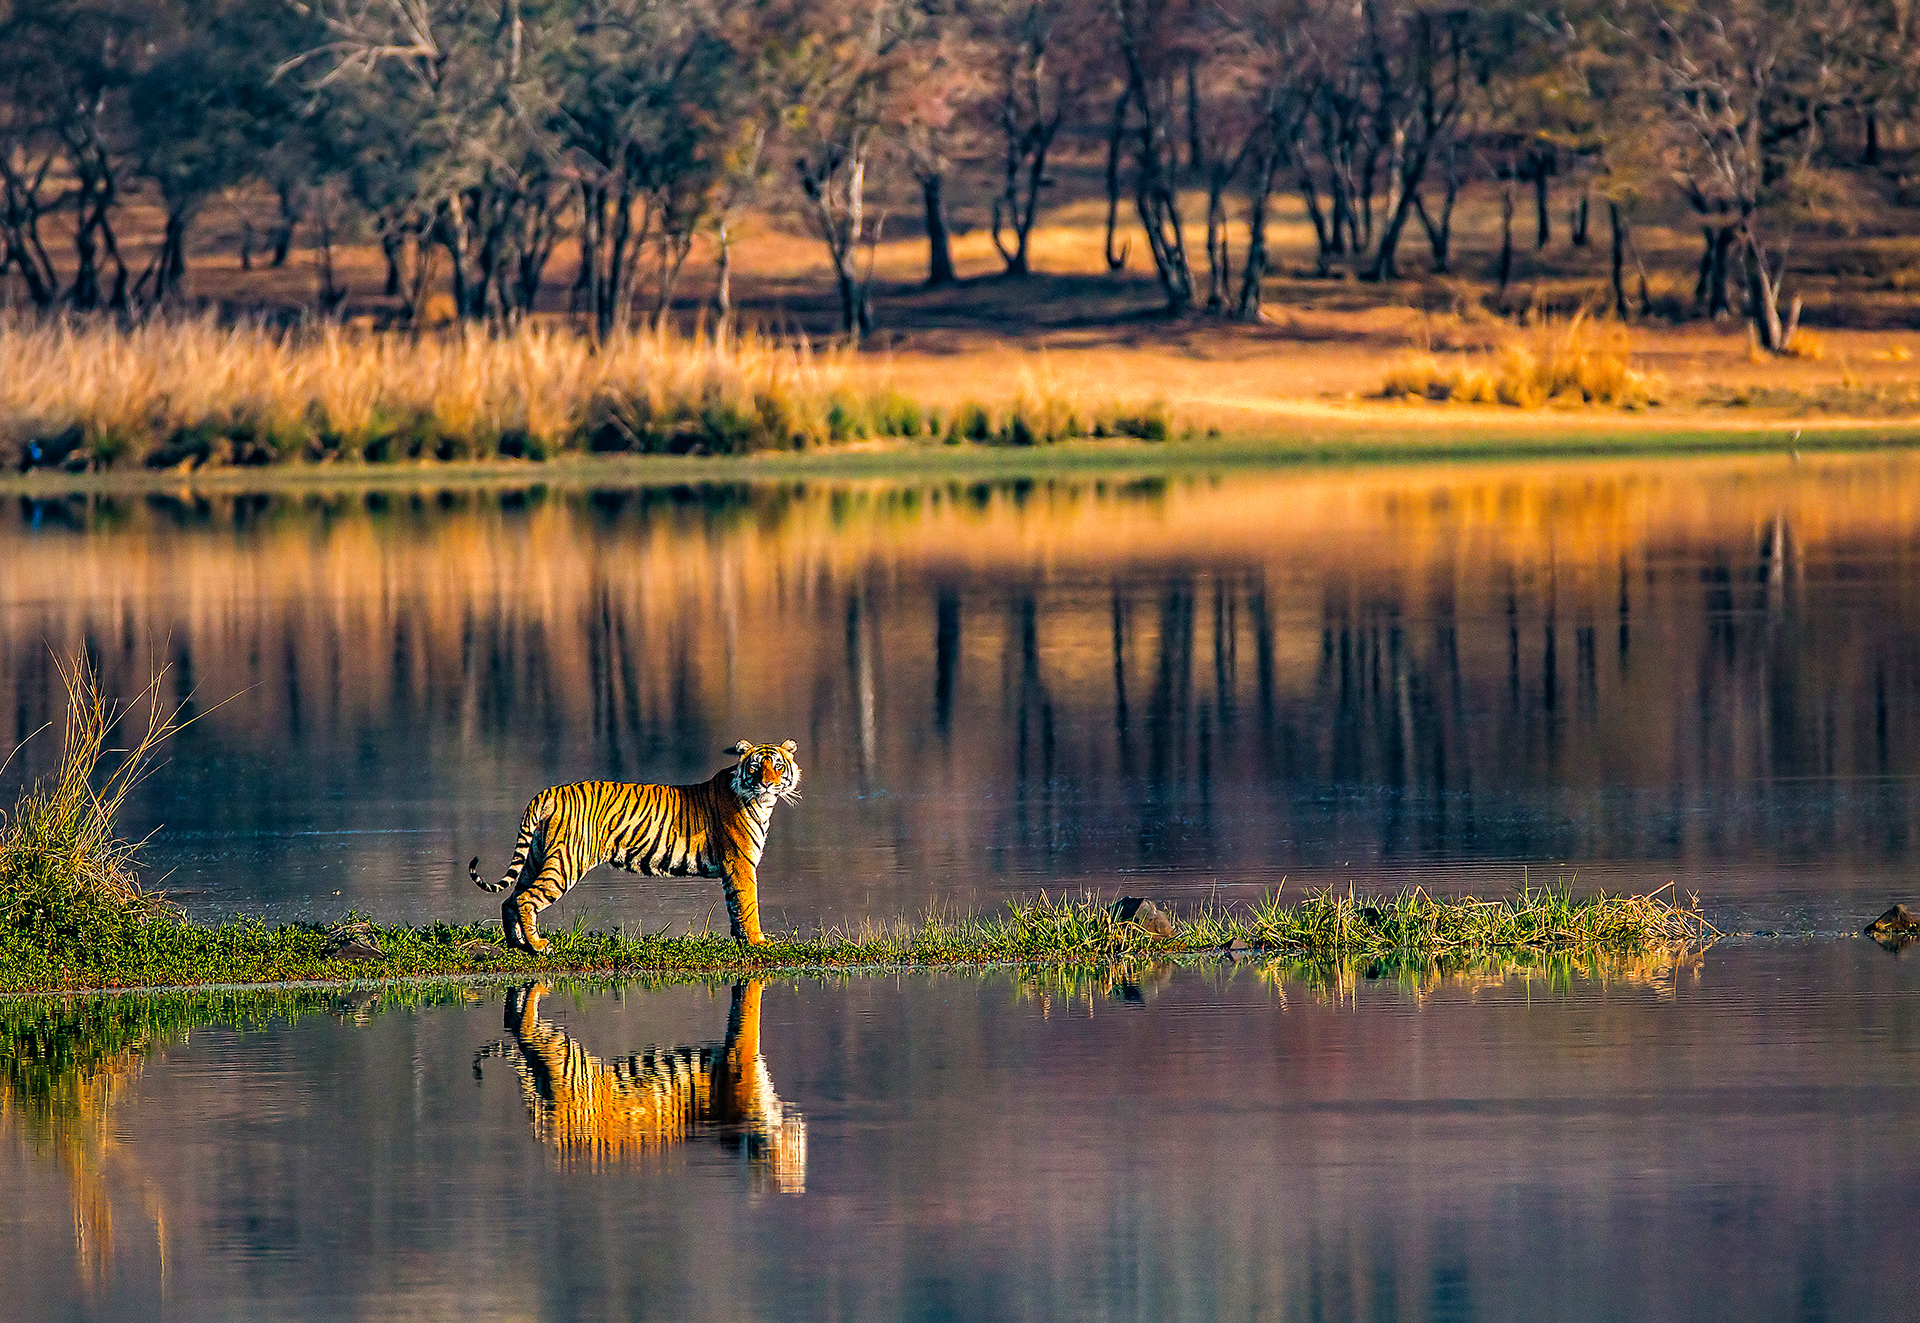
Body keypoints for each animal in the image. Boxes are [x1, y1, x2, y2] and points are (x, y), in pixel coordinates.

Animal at [470, 739, 800, 953]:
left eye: (778, 766)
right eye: (755, 768)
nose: (767, 783)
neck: (763, 803)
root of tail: (549, 791)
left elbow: (735, 906)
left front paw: (744, 940)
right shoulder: (740, 863)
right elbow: (748, 903)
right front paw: (758, 941)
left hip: (537, 857)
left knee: (511, 899)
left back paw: (518, 944)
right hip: (566, 862)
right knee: (527, 898)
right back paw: (538, 946)